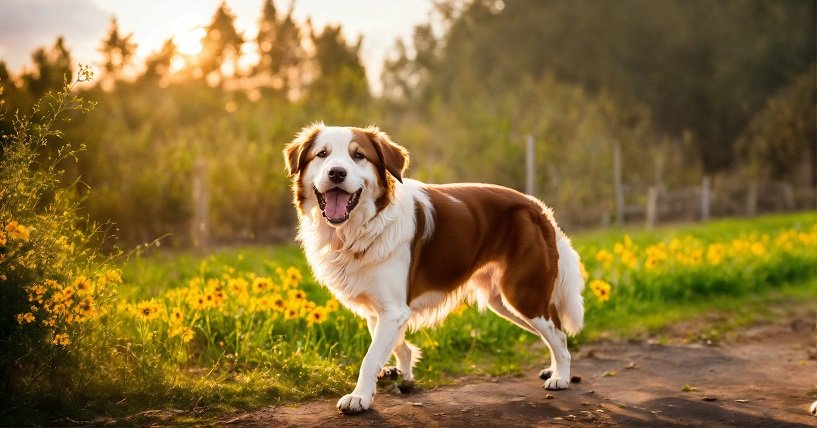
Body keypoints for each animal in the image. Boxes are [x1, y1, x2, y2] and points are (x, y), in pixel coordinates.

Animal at [284, 123, 584, 414]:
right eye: (322, 154)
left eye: (358, 155)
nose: (336, 173)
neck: (359, 228)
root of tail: (537, 207)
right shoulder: (379, 311)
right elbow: (397, 346)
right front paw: (402, 375)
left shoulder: (393, 310)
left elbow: (370, 358)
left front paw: (360, 398)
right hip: (503, 301)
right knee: (551, 331)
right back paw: (553, 370)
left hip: (522, 293)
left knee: (559, 335)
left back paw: (561, 377)